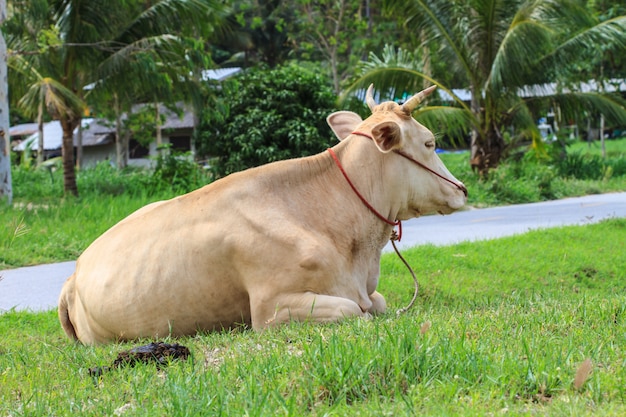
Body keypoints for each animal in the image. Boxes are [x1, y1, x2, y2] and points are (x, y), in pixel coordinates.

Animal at [58, 83, 466, 342]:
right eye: (430, 143)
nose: (462, 190)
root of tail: (73, 275)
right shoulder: (270, 309)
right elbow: (353, 311)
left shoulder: (367, 292)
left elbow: (377, 303)